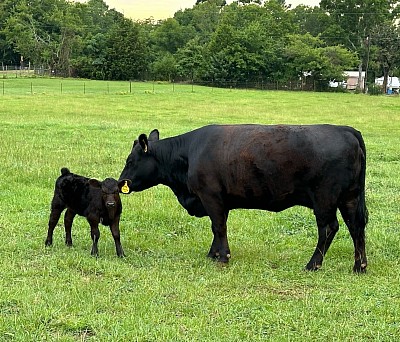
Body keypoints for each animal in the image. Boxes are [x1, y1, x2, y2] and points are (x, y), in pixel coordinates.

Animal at [119, 124, 368, 272]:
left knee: (329, 228)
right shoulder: (221, 202)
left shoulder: (211, 196)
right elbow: (217, 227)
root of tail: (345, 130)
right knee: (356, 226)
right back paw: (359, 265)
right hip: (349, 197)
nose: (121, 182)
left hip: (324, 199)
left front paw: (223, 257)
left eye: (130, 161)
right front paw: (213, 253)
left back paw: (313, 264)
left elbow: (219, 227)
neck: (189, 154)